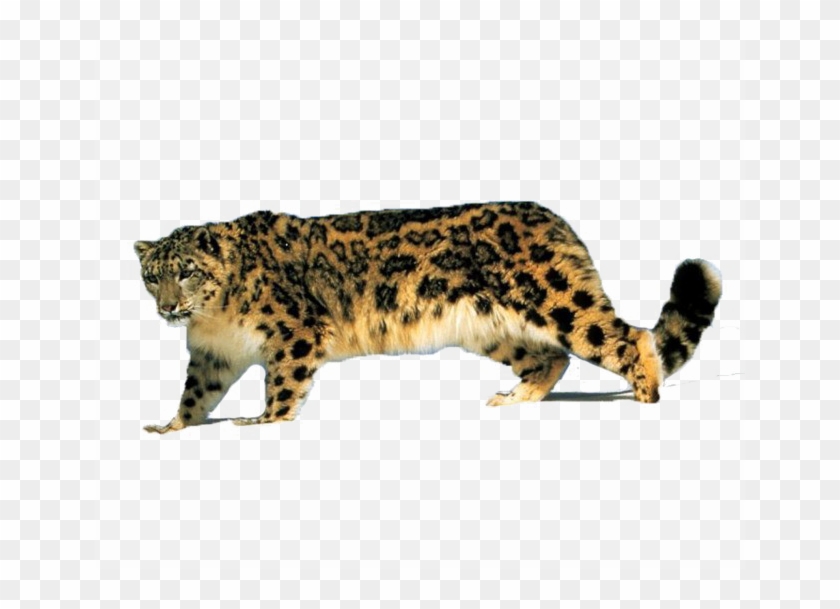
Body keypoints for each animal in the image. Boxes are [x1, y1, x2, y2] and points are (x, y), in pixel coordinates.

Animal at [134, 202, 722, 434]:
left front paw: (264, 421)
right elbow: (194, 393)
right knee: (551, 358)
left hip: (557, 302)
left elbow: (281, 384)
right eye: (151, 275)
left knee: (627, 338)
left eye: (187, 271)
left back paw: (644, 396)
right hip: (493, 330)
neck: (213, 319)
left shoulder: (294, 335)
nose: (167, 308)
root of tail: (556, 222)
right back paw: (514, 398)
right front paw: (170, 426)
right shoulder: (211, 355)